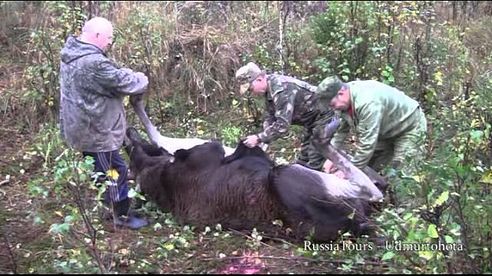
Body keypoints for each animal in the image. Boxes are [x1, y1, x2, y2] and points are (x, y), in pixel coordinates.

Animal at [124, 126, 376, 243]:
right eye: (132, 151)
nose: (128, 130)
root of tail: (357, 226)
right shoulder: (212, 150)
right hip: (282, 175)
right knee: (371, 190)